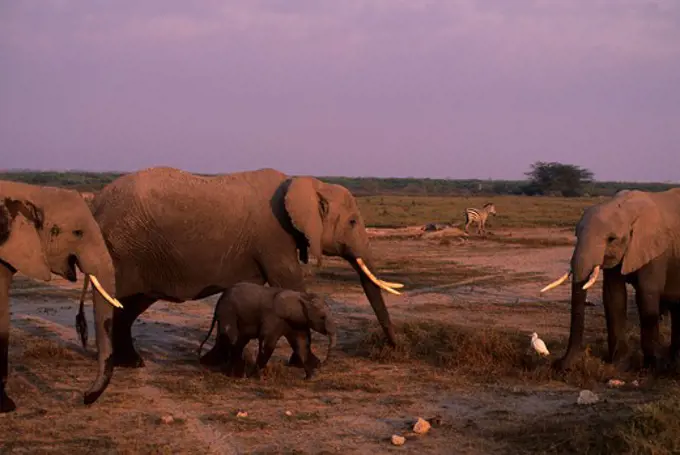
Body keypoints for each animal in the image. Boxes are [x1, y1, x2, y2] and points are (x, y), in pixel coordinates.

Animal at [197, 284, 338, 380]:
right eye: (322, 317)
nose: (323, 363)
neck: (301, 296)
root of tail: (218, 302)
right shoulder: (273, 317)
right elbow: (268, 344)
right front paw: (254, 376)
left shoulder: (297, 320)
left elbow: (302, 344)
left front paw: (309, 377)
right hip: (228, 311)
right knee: (231, 337)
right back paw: (234, 374)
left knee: (235, 341)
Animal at [540, 188, 680, 370]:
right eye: (576, 235)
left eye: (611, 239)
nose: (558, 364)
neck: (625, 208)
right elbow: (614, 295)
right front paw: (617, 362)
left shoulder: (656, 251)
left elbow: (646, 294)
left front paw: (649, 367)